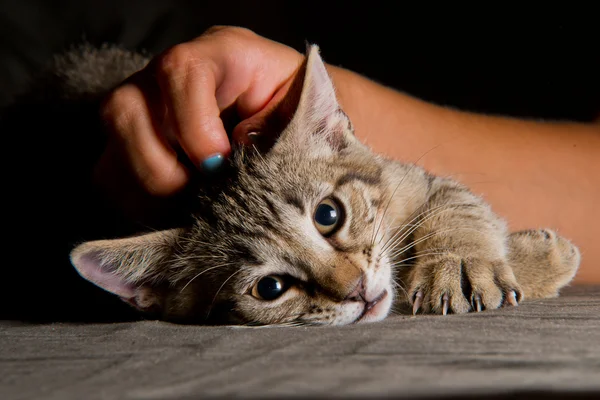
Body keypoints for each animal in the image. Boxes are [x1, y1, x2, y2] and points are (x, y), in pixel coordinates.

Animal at [68, 44, 580, 324]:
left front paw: (463, 262)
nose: (356, 289)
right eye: (270, 288)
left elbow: (454, 205)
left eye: (328, 215)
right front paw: (536, 260)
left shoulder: (411, 179)